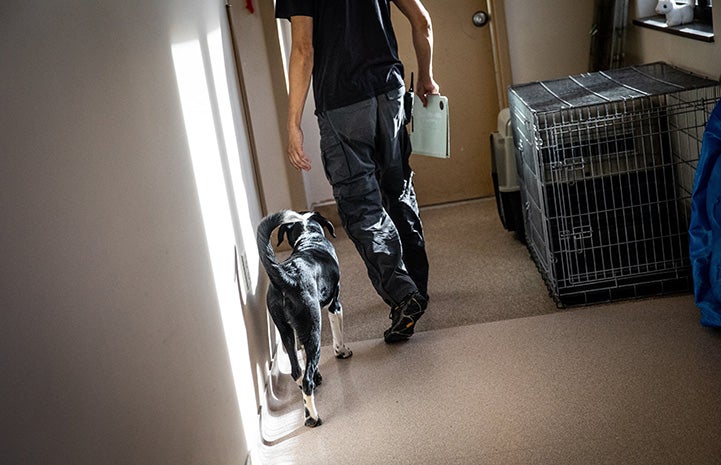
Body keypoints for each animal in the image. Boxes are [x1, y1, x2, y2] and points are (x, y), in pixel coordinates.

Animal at [256, 208, 352, 426]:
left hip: (286, 331)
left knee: (297, 372)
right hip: (313, 328)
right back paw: (313, 418)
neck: (309, 236)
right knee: (305, 379)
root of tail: (288, 277)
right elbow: (338, 335)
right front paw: (342, 352)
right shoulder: (335, 305)